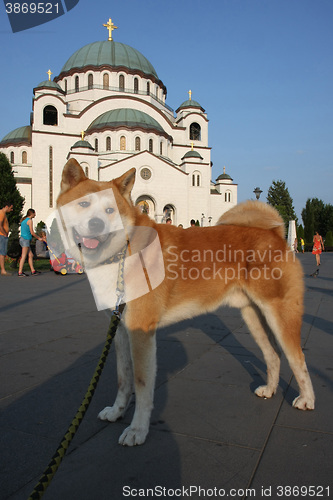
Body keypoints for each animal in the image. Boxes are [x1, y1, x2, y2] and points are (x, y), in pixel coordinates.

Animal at [56, 159, 314, 446]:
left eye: (110, 209)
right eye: (84, 204)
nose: (96, 223)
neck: (123, 253)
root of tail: (275, 234)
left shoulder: (141, 331)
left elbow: (141, 384)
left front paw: (137, 429)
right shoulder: (121, 330)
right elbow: (123, 379)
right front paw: (116, 412)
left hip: (280, 315)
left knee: (297, 358)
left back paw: (307, 400)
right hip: (254, 317)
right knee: (273, 356)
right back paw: (269, 389)